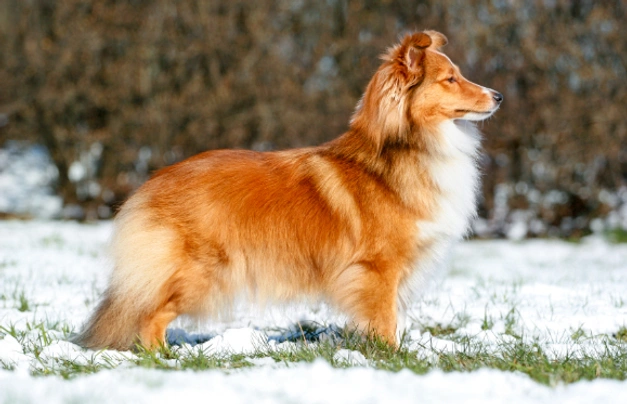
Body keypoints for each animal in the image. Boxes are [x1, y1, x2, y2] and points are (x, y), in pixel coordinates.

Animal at [75, 30, 506, 350]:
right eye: (450, 79)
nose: (499, 96)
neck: (406, 148)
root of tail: (151, 182)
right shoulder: (377, 269)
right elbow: (384, 321)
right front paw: (391, 357)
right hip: (203, 274)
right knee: (149, 317)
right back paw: (165, 359)